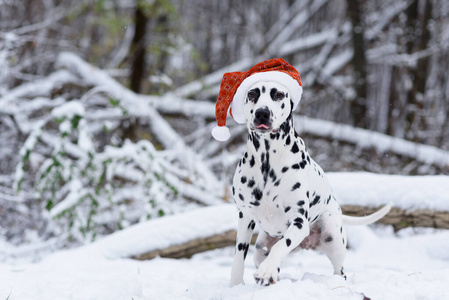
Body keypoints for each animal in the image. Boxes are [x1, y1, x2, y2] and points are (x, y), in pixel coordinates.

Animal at [229, 81, 390, 288]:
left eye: (278, 94)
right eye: (252, 94)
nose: (262, 113)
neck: (267, 158)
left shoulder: (299, 222)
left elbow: (282, 244)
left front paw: (266, 271)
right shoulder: (245, 217)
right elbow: (239, 255)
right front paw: (235, 284)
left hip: (333, 237)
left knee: (339, 270)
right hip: (260, 248)